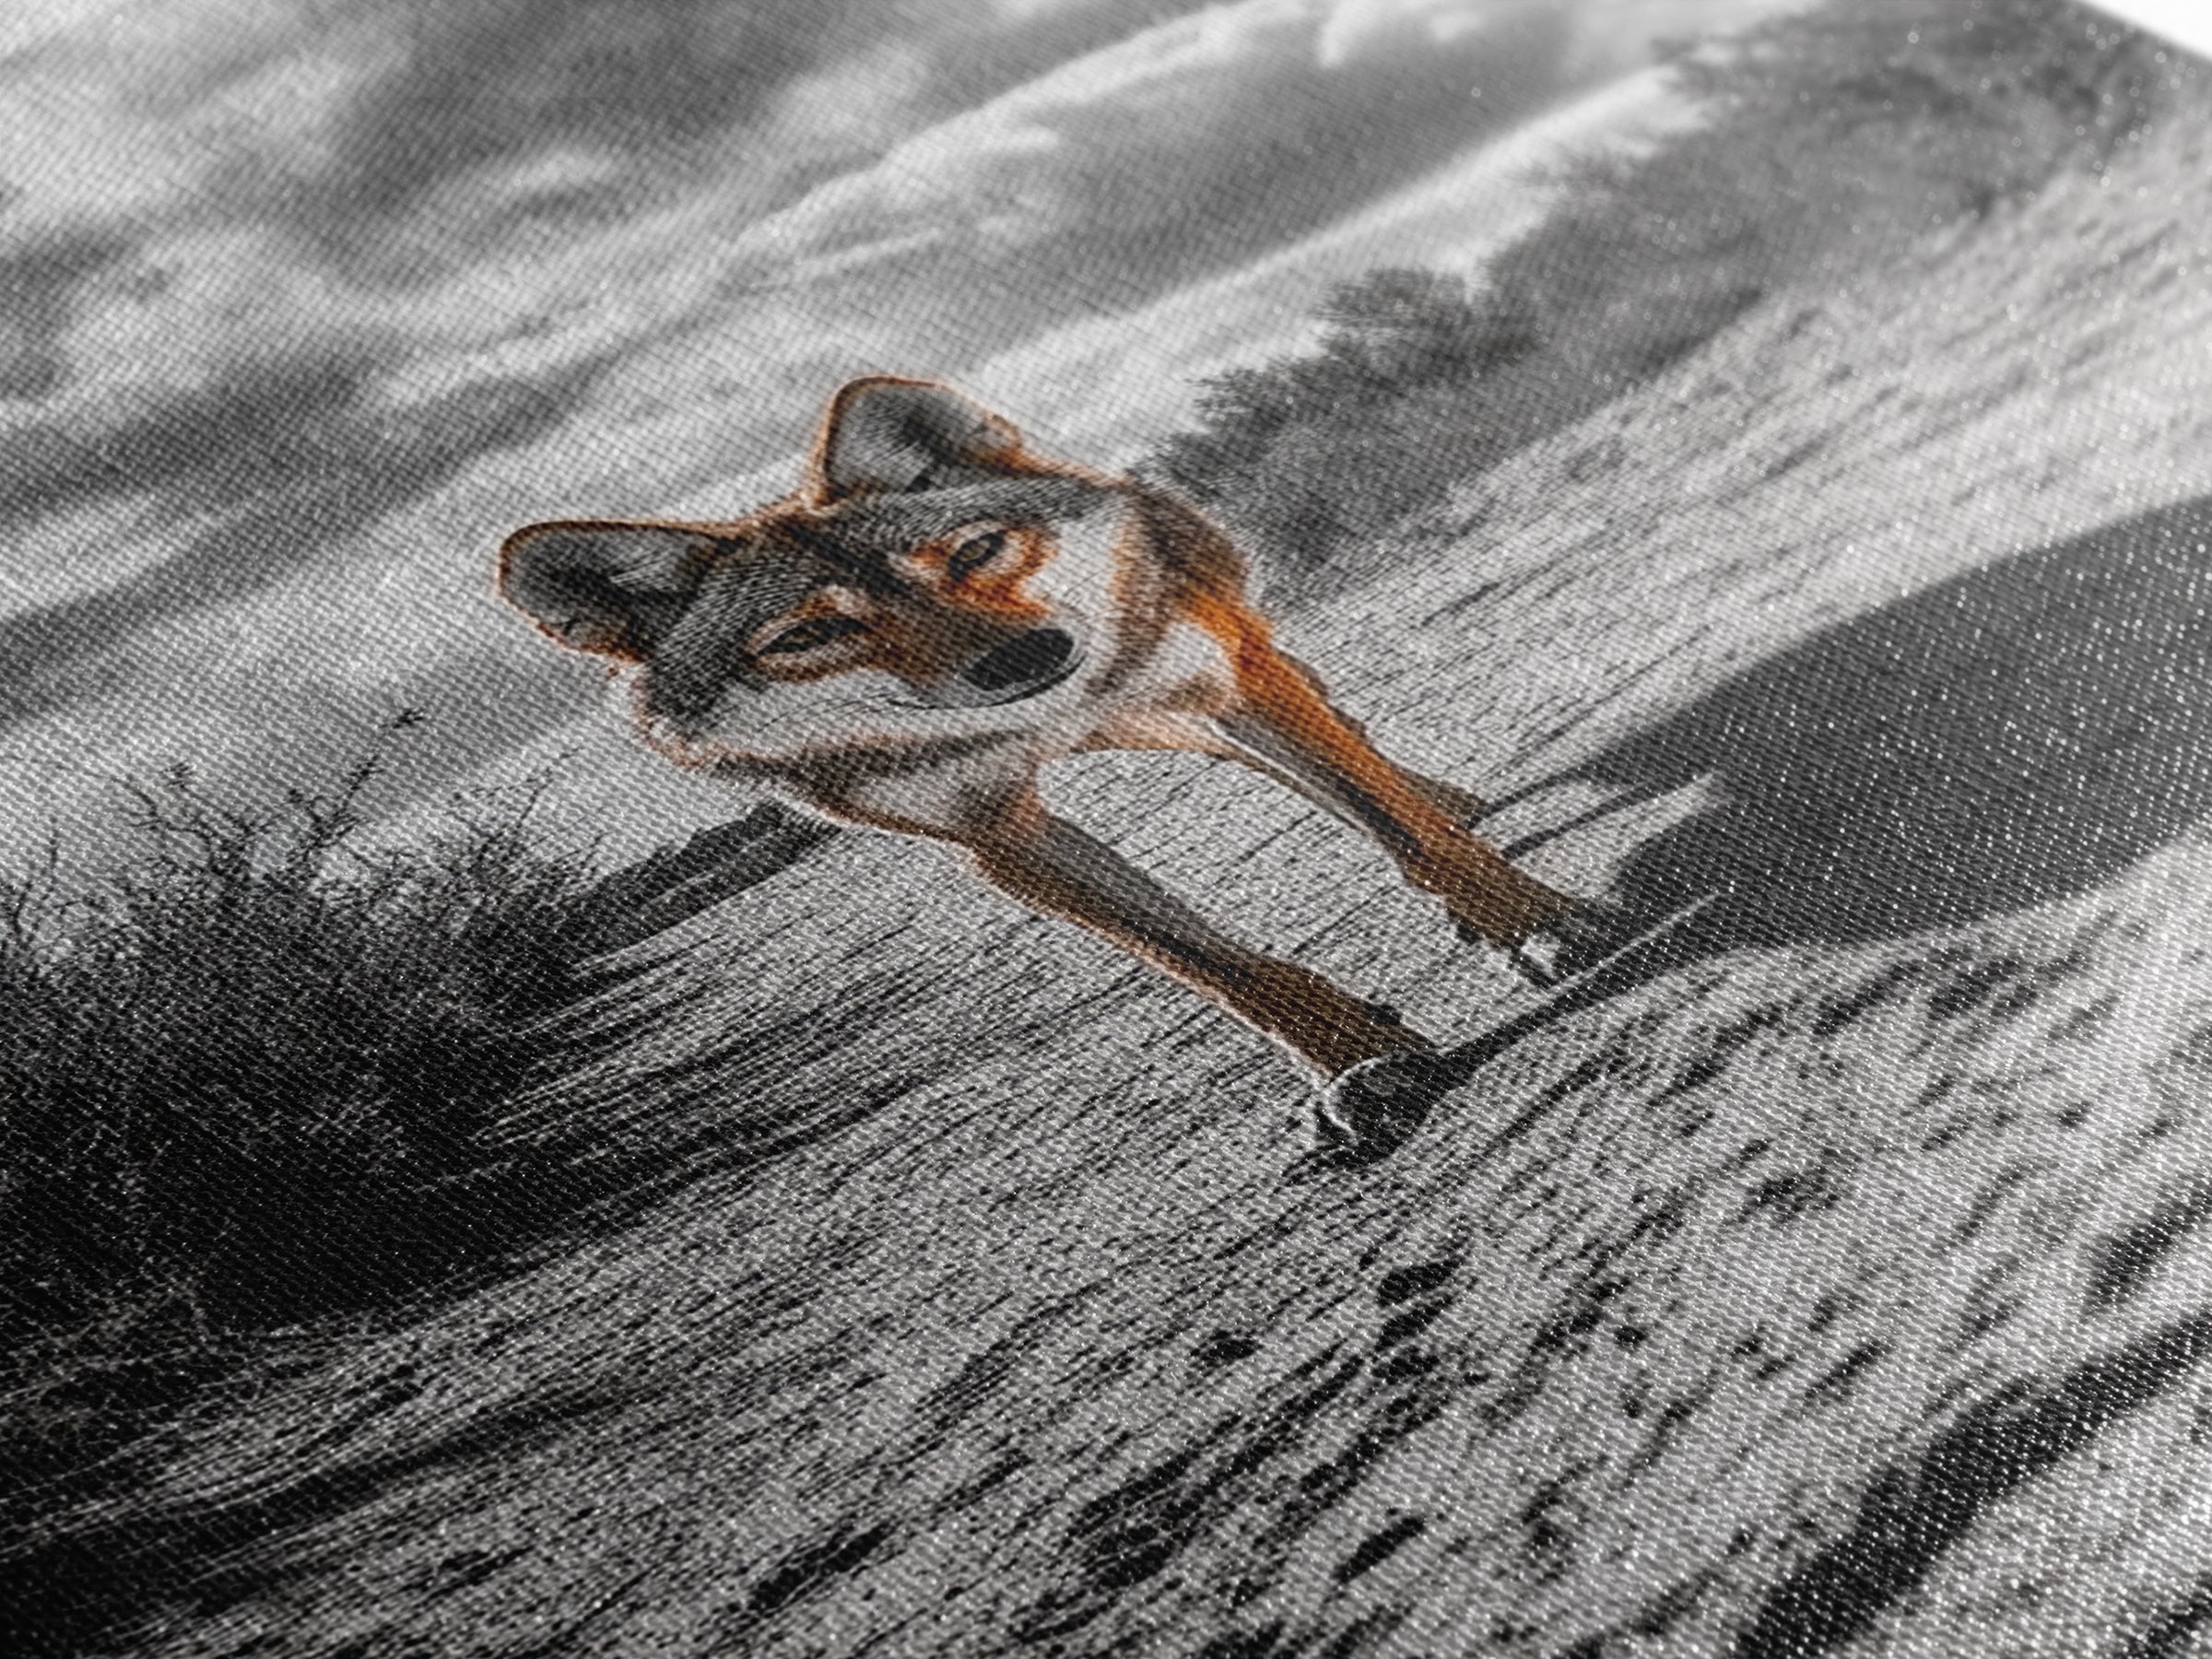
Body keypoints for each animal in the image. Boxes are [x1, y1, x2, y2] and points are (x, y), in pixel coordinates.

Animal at [499, 377, 1595, 1154]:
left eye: (973, 552)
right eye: (805, 636)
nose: (1025, 660)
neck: (1052, 719)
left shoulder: (1232, 684)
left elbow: (1401, 828)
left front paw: (1528, 923)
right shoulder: (997, 838)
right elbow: (1209, 965)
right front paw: (1354, 1067)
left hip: (1219, 682)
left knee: (1350, 757)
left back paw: (1451, 816)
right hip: (1177, 727)